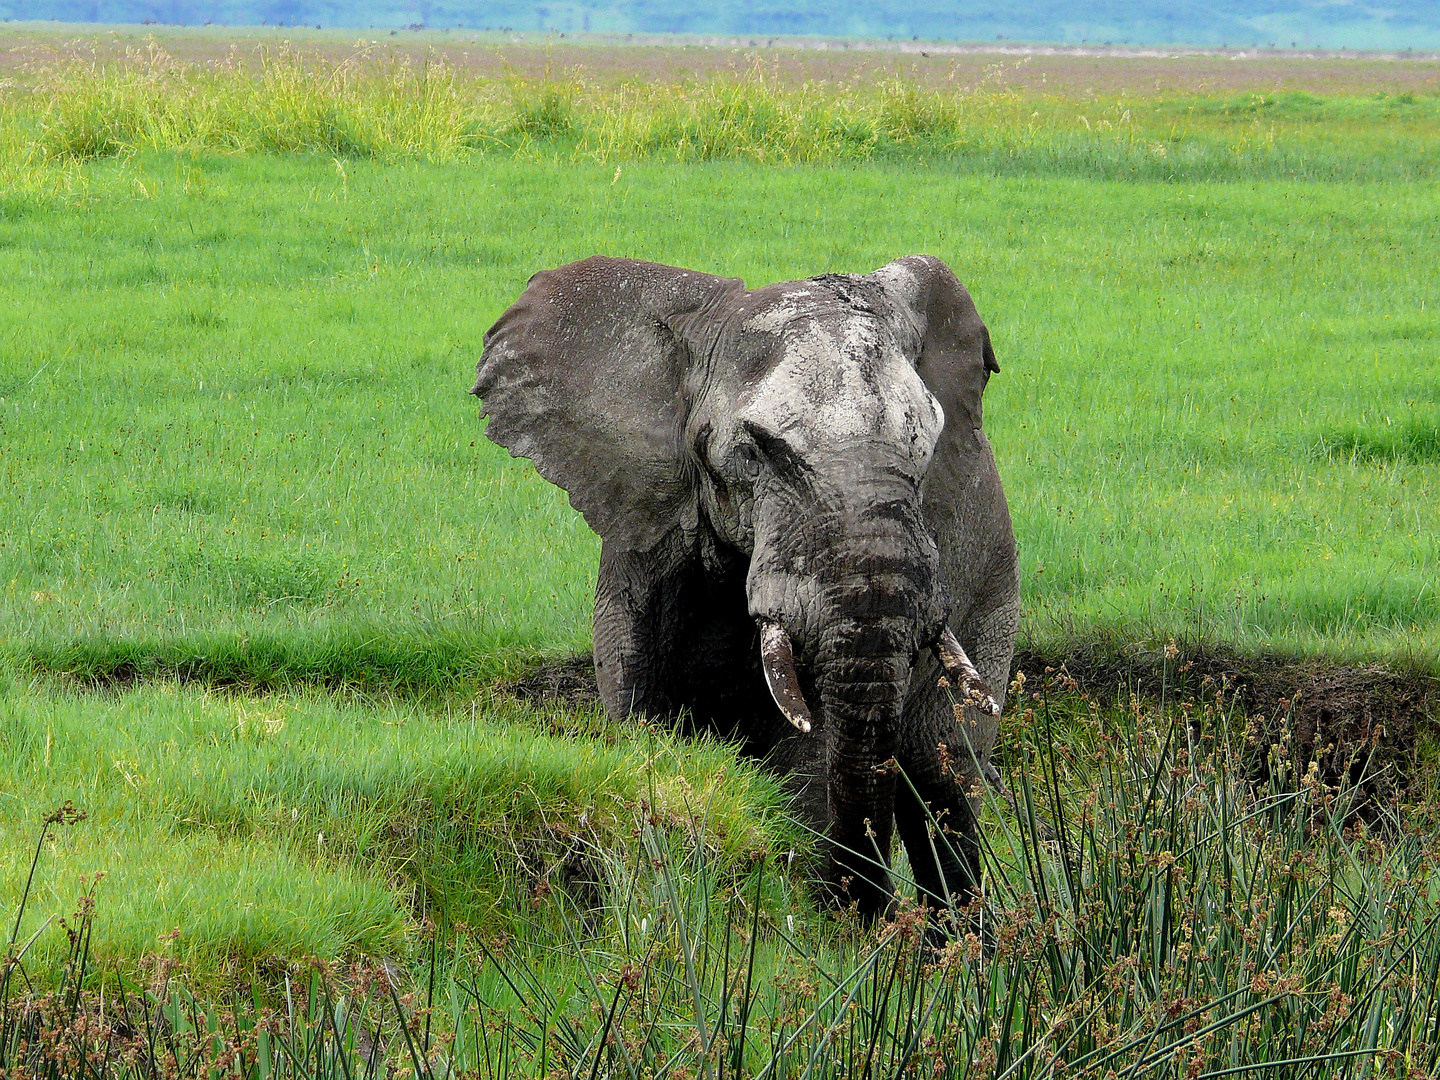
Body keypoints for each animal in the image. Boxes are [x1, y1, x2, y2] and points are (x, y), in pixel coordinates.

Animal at [472, 253, 1013, 921]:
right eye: (757, 450)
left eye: (927, 448)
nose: (875, 913)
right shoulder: (647, 528)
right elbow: (638, 706)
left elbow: (811, 758)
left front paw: (839, 931)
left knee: (946, 789)